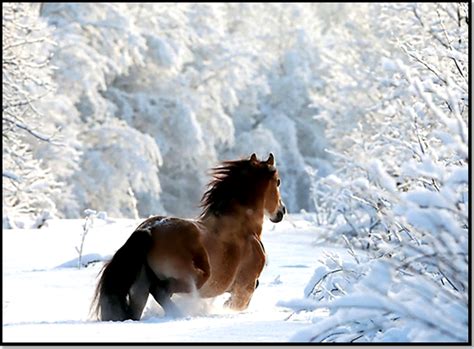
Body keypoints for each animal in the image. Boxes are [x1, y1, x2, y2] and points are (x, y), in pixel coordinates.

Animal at [91, 152, 286, 320]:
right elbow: (238, 304)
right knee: (160, 291)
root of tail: (149, 230)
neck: (244, 228)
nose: (281, 211)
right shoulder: (246, 286)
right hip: (195, 278)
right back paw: (179, 314)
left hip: (139, 288)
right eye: (278, 182)